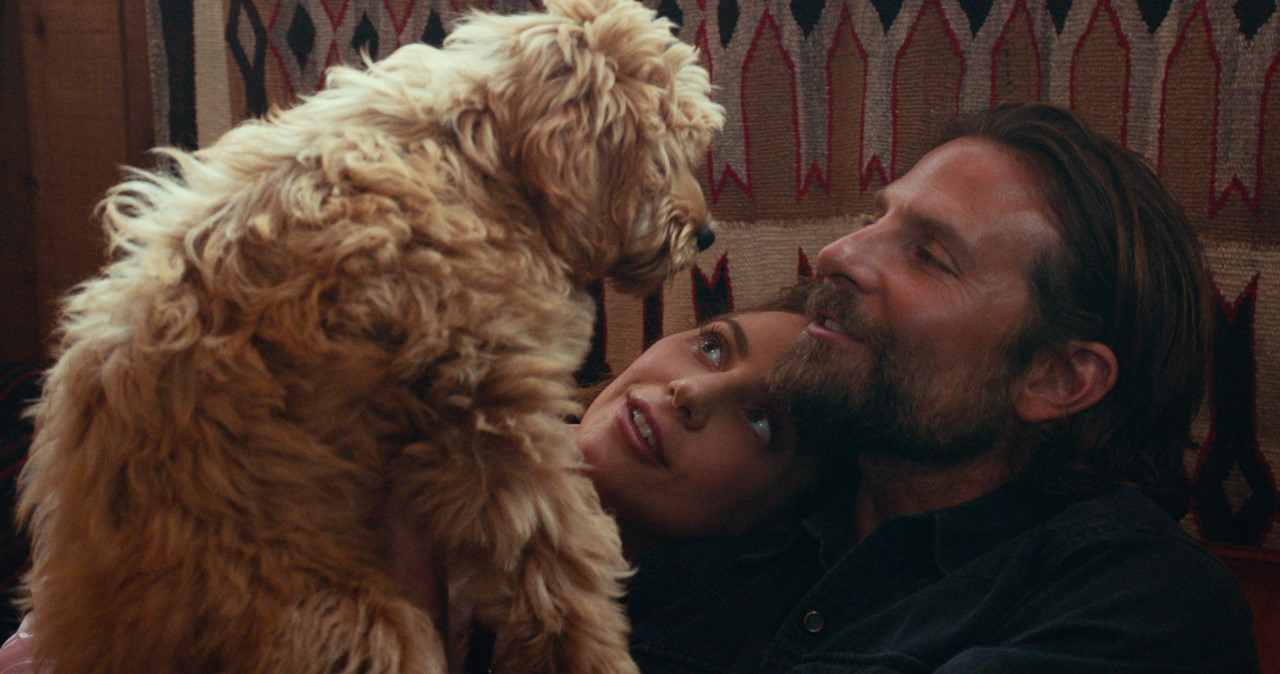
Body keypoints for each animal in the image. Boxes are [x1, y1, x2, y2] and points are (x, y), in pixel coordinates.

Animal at [16, 0, 723, 670]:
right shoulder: (492, 414)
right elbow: (559, 559)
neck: (482, 163)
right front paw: (595, 654)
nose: (708, 233)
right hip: (346, 616)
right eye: (667, 154)